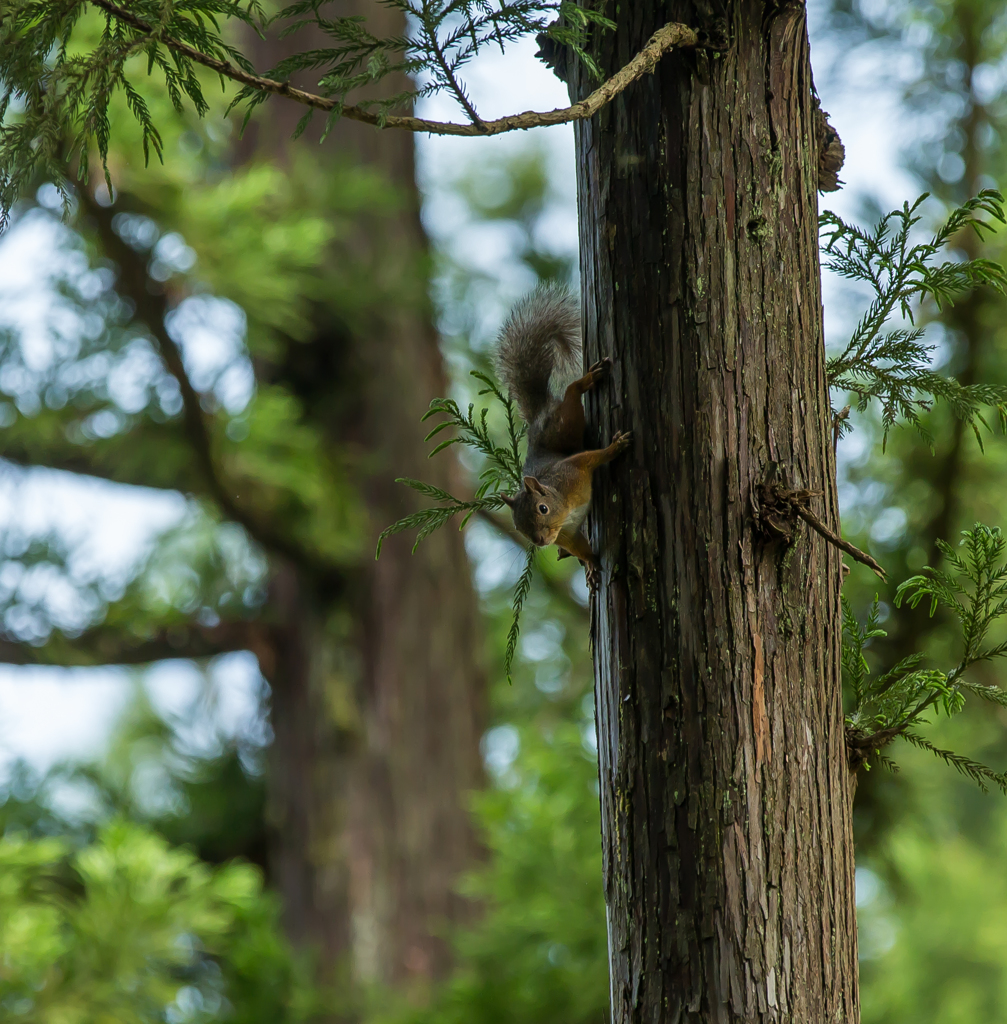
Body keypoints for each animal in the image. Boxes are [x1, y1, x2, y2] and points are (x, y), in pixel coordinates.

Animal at [493, 284, 631, 589]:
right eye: (518, 527)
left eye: (543, 508)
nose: (541, 541)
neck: (564, 511)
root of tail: (539, 416)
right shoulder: (567, 535)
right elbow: (579, 547)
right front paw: (590, 564)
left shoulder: (573, 469)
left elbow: (593, 457)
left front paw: (615, 447)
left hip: (564, 425)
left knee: (570, 394)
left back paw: (588, 380)